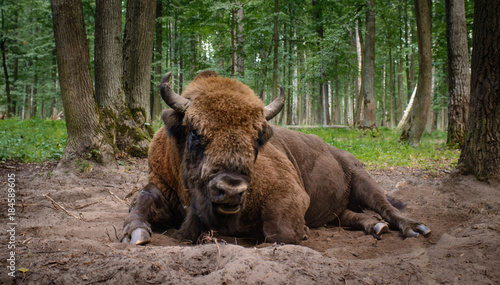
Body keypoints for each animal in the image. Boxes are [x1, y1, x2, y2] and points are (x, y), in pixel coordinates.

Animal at [121, 70, 430, 244]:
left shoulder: (289, 194)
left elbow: (279, 233)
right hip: (339, 204)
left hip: (362, 178)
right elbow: (142, 200)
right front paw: (135, 234)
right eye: (195, 132)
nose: (231, 189)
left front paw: (301, 232)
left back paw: (414, 228)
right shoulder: (161, 185)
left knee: (384, 206)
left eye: (258, 138)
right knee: (347, 215)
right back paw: (374, 226)